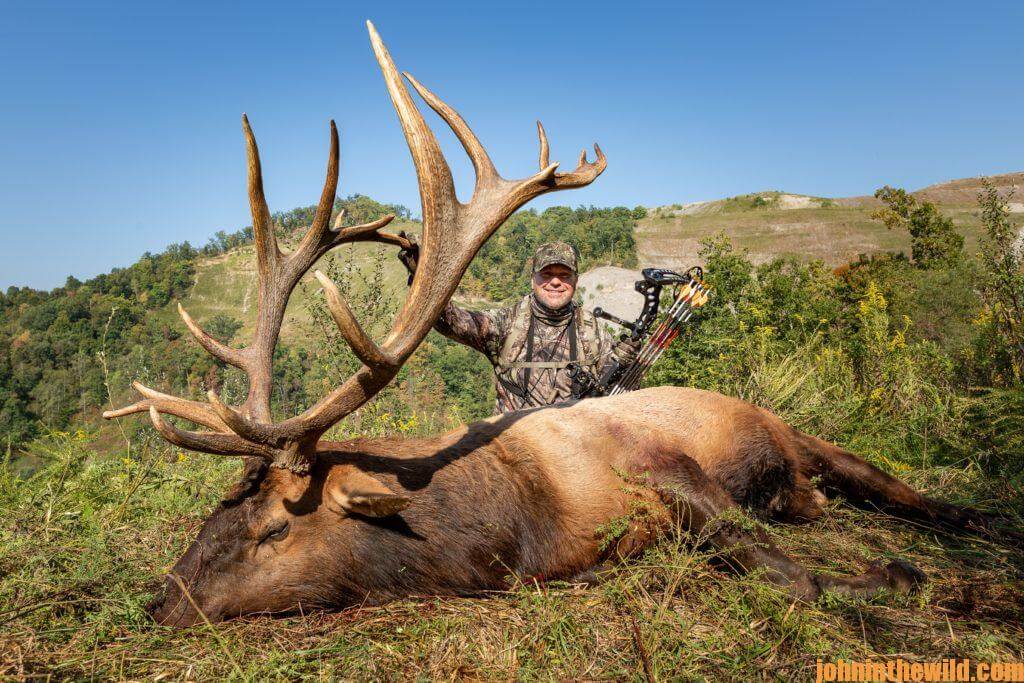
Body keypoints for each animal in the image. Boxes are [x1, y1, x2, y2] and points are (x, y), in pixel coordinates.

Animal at [104, 22, 1017, 628]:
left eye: (266, 529)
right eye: (212, 510)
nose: (160, 598)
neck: (524, 526)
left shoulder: (670, 466)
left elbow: (793, 576)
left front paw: (916, 581)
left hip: (794, 431)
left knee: (894, 484)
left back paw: (982, 524)